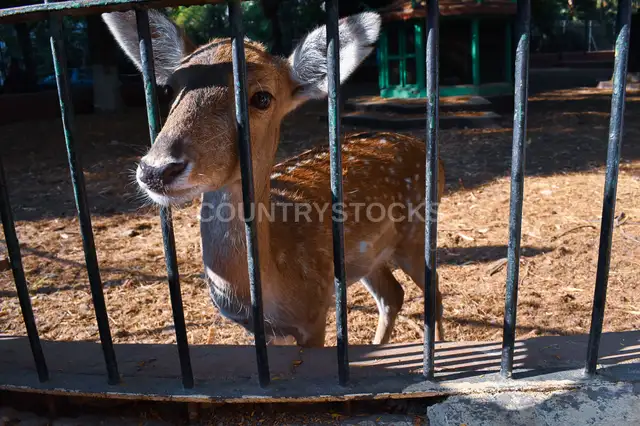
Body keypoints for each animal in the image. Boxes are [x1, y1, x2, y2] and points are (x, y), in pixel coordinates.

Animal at [103, 9, 445, 347]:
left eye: (262, 98)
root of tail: (432, 157)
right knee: (393, 295)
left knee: (434, 291)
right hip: (368, 257)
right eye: (170, 89)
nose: (157, 169)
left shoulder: (314, 312)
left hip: (416, 232)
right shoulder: (267, 332)